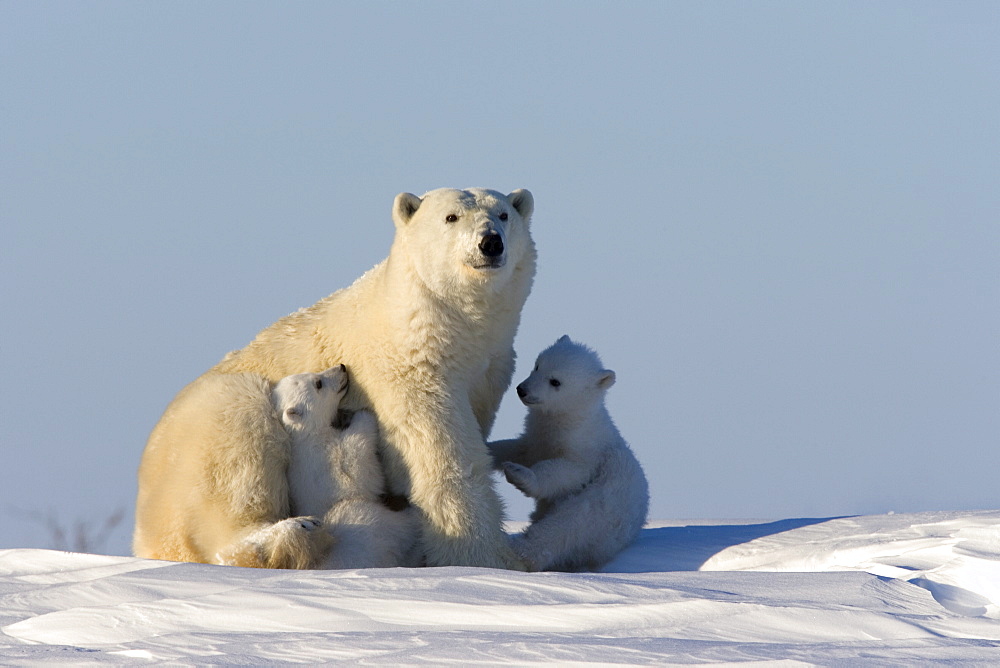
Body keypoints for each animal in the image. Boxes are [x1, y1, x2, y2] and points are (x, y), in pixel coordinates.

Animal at [270, 366, 418, 568]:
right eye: (318, 383)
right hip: (360, 522)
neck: (309, 434)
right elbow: (357, 468)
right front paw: (364, 414)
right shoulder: (324, 458)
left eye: (313, 374)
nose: (341, 367)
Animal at [490, 336, 648, 572]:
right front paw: (487, 449)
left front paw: (520, 474)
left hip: (600, 511)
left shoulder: (587, 453)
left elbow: (565, 472)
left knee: (563, 528)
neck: (568, 420)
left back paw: (519, 549)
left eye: (555, 381)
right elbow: (519, 449)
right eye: (538, 365)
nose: (522, 389)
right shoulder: (537, 439)